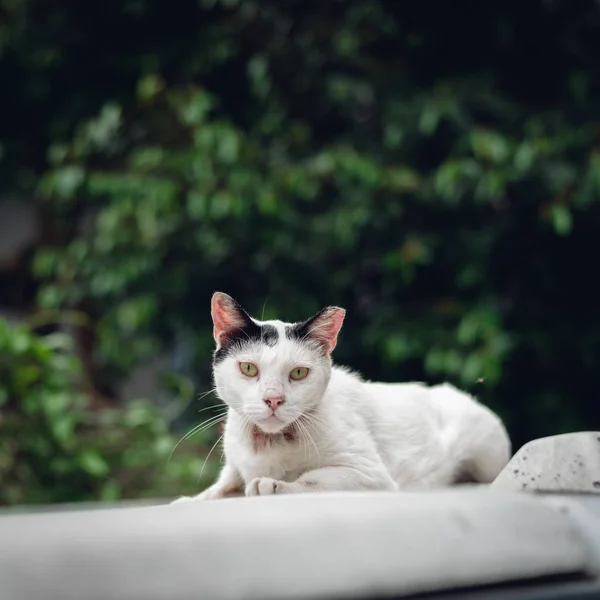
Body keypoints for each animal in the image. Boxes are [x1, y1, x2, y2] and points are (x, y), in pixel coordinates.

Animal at [172, 292, 510, 502]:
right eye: (248, 368)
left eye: (298, 373)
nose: (273, 399)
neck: (268, 444)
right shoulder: (233, 470)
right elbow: (216, 491)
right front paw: (188, 500)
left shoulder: (369, 475)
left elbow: (313, 479)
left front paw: (272, 484)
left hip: (486, 451)